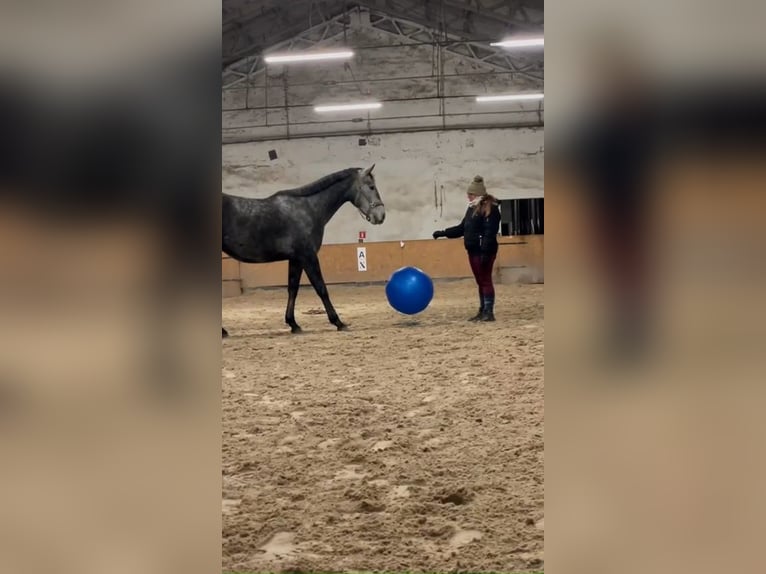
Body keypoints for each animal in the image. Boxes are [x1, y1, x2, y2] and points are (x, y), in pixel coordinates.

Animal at [224, 165, 388, 338]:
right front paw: (338, 322)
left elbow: (293, 289)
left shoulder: (296, 259)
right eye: (371, 186)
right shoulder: (308, 256)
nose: (381, 216)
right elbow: (321, 288)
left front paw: (293, 324)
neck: (307, 209)